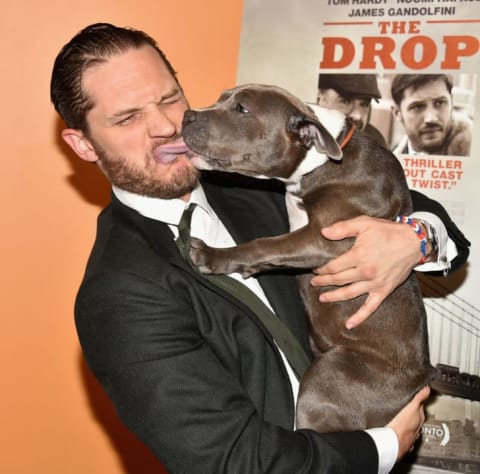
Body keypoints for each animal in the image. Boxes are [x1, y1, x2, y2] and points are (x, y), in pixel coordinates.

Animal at [181, 83, 436, 432]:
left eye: (242, 109)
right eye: (221, 99)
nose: (186, 115)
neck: (320, 161)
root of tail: (417, 383)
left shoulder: (330, 240)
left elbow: (264, 244)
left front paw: (212, 255)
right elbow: (273, 249)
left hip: (329, 372)